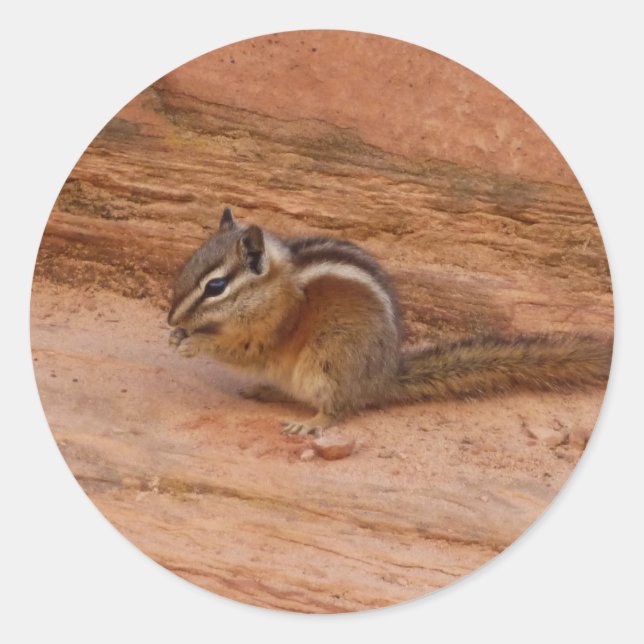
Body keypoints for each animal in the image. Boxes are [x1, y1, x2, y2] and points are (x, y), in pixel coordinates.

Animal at [168, 207, 612, 436]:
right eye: (188, 265)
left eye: (216, 286)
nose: (170, 316)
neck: (274, 286)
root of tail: (382, 378)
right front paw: (177, 334)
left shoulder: (272, 330)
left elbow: (243, 350)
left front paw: (194, 342)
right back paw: (265, 390)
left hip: (328, 362)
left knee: (338, 408)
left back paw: (311, 424)